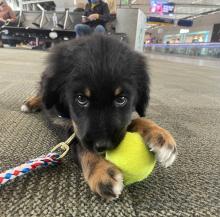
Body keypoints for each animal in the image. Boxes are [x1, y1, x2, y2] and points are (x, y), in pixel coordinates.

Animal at [21, 34, 176, 200]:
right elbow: (80, 145)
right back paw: (31, 102)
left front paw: (160, 135)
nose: (103, 146)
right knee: (41, 93)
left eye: (121, 99)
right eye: (81, 99)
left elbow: (134, 120)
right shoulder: (60, 120)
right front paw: (101, 172)